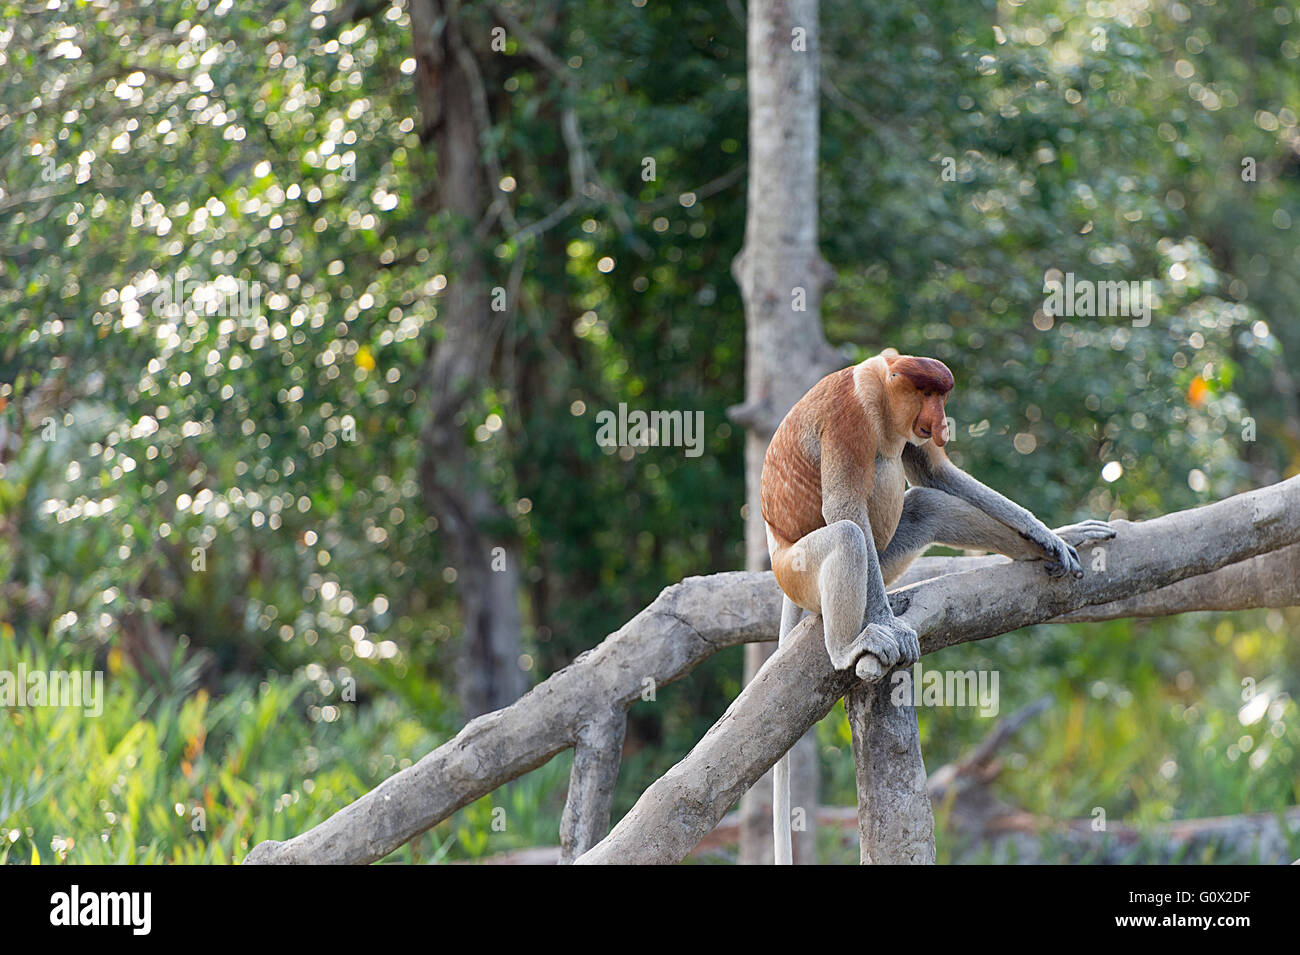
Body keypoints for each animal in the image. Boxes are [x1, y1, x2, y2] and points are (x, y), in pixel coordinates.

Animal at [760, 348, 1114, 864]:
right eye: (927, 393)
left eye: (942, 394)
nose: (942, 421)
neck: (879, 393)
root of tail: (777, 553)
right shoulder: (848, 419)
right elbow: (845, 508)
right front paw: (887, 625)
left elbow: (934, 474)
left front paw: (1047, 532)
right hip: (799, 570)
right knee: (847, 535)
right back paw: (850, 645)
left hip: (884, 558)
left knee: (927, 504)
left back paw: (1048, 547)